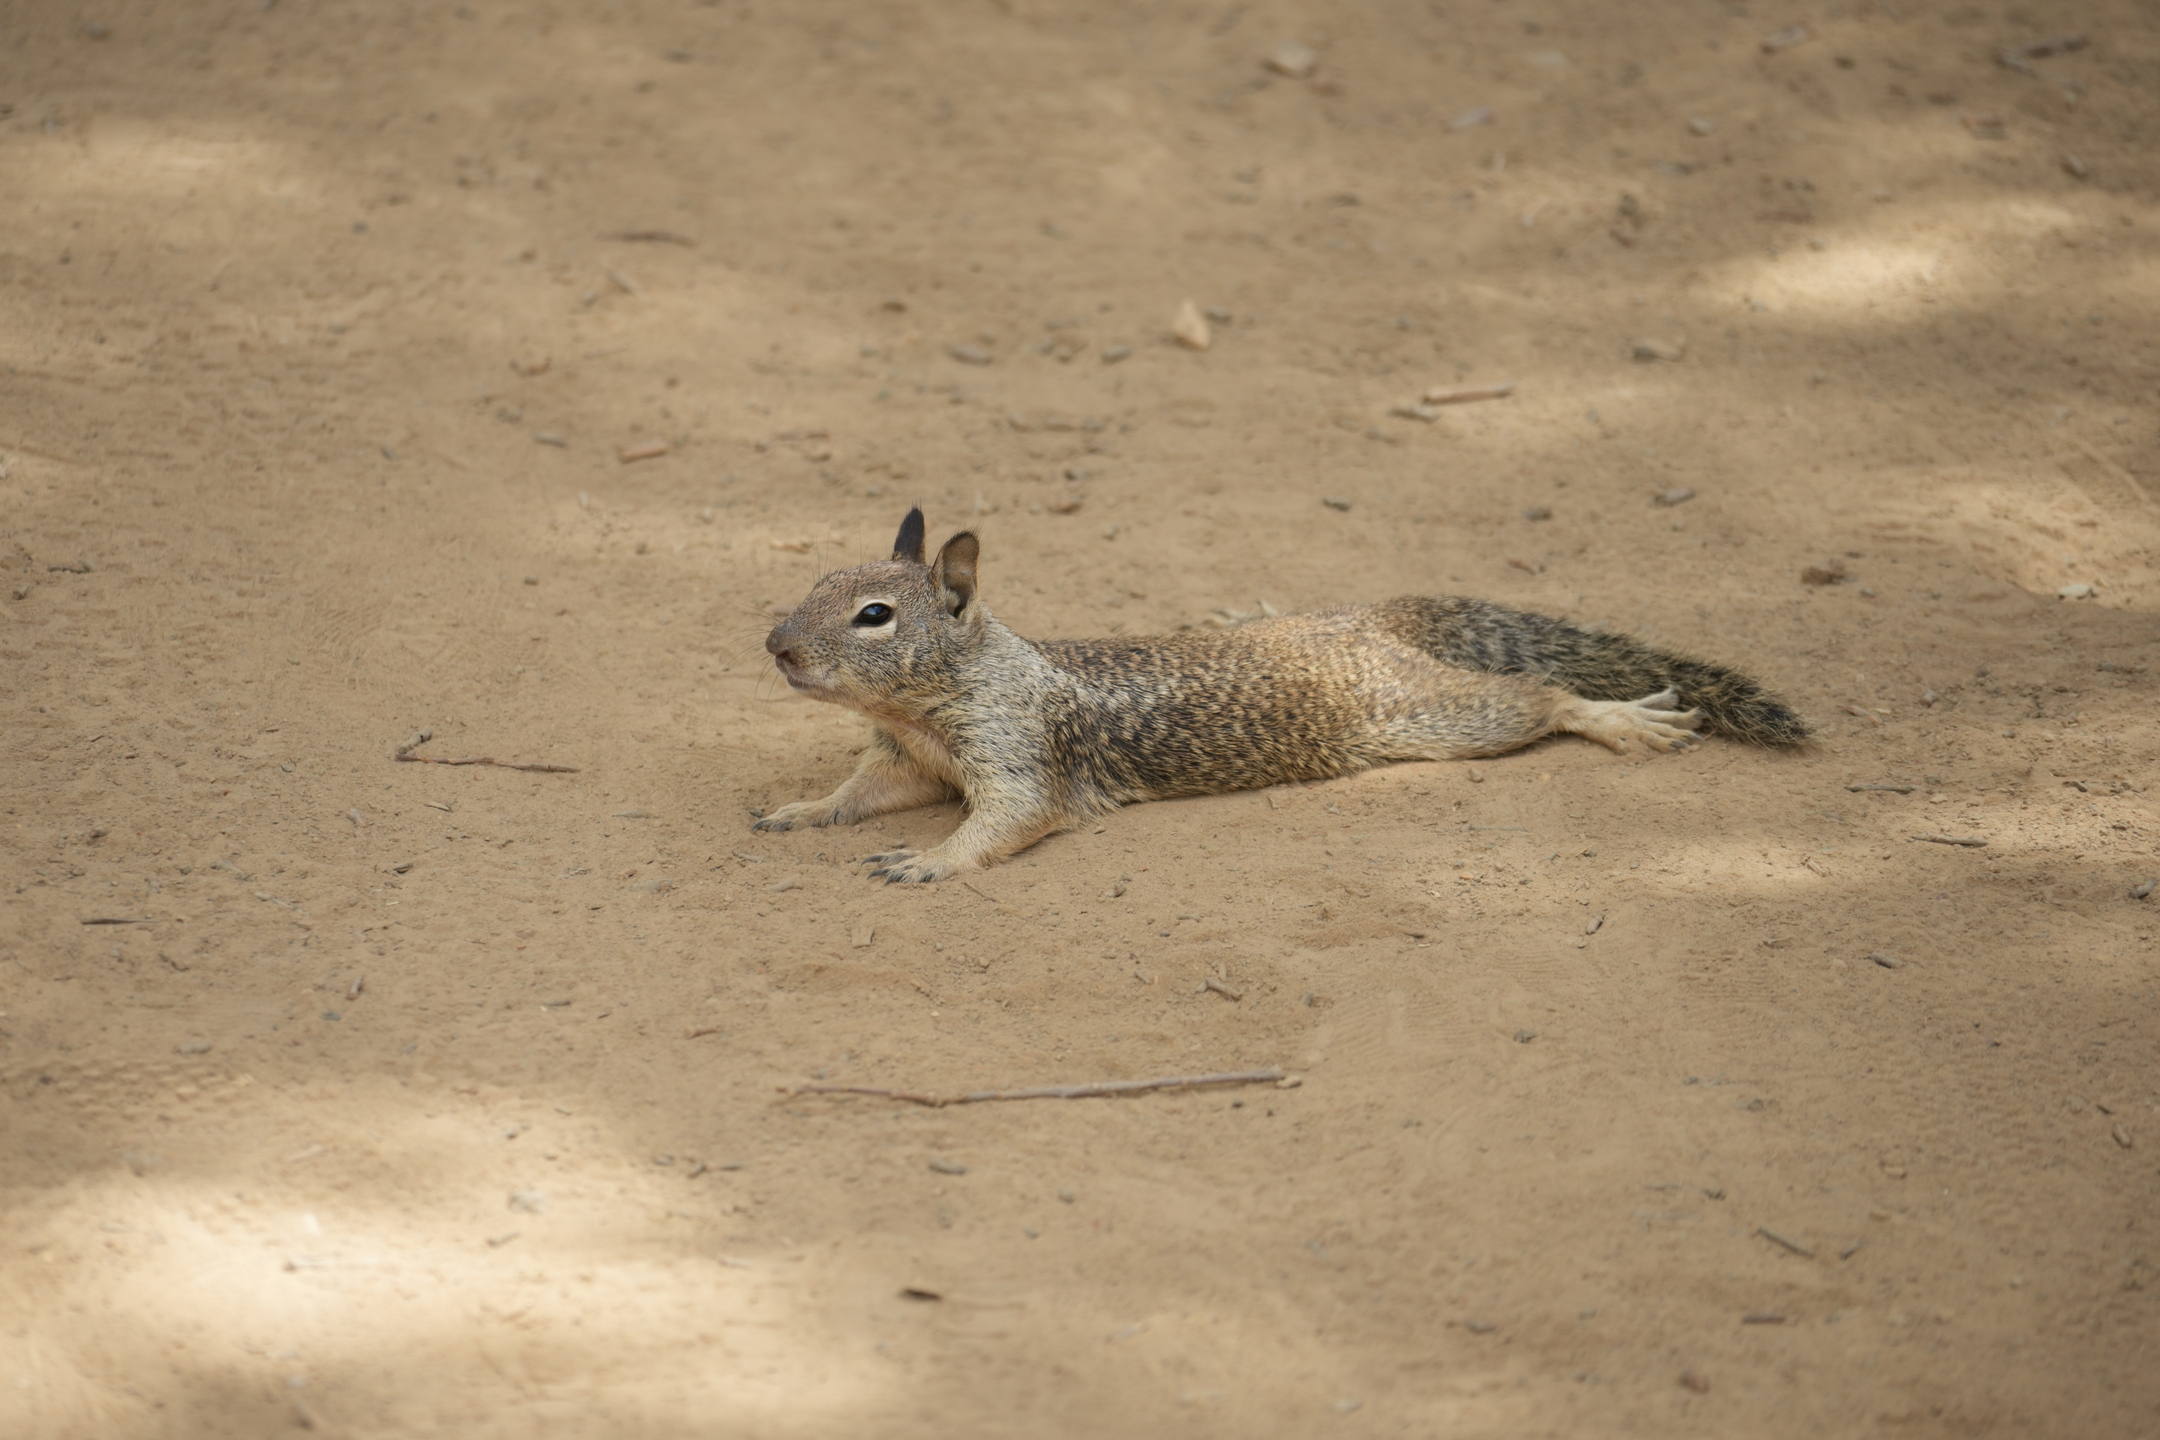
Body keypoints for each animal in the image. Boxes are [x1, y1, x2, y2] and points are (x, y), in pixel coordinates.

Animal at [755, 507, 1807, 883]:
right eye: (816, 582)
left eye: (876, 616)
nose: (775, 646)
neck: (927, 706)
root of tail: (1373, 622)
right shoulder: (906, 760)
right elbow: (857, 795)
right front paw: (800, 809)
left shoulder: (1015, 753)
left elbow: (1008, 819)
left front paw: (931, 860)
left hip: (1446, 717)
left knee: (1541, 696)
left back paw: (1620, 718)